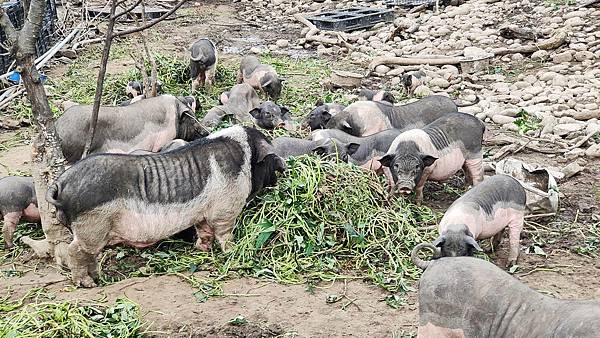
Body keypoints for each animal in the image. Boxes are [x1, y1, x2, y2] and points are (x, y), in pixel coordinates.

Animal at [47, 125, 286, 286]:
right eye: (271, 160)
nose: (283, 171)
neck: (245, 158)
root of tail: (60, 184)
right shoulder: (225, 209)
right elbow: (224, 234)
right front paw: (233, 251)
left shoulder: (202, 214)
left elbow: (204, 232)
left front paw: (201, 250)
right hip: (91, 227)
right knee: (74, 251)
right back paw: (87, 284)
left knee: (88, 255)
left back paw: (97, 278)